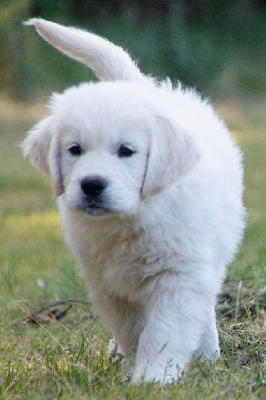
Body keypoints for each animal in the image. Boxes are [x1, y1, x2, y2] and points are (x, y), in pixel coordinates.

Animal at [21, 19, 244, 384]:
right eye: (74, 149)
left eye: (126, 151)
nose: (92, 184)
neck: (131, 218)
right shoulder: (107, 284)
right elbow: (132, 329)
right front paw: (135, 365)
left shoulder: (179, 277)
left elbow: (164, 330)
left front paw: (153, 378)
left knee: (205, 305)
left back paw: (208, 353)